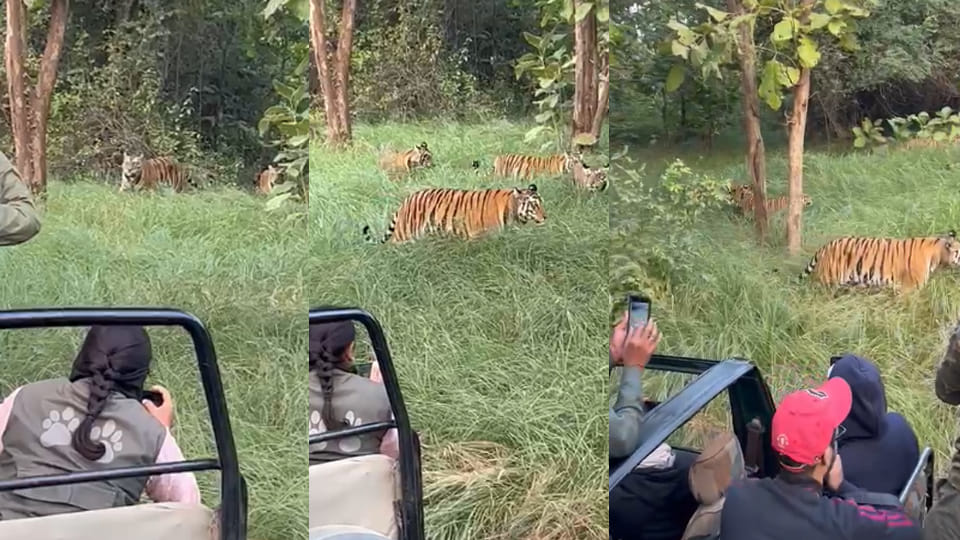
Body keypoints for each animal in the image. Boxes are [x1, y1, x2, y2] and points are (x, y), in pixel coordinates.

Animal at [362, 184, 546, 245]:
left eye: (542, 203)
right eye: (534, 205)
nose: (545, 217)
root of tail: (406, 200)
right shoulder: (477, 237)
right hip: (404, 235)